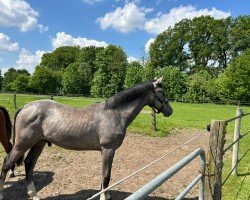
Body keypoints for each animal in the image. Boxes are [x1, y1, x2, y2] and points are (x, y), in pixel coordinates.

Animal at [0, 77, 172, 199]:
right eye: (162, 93)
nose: (170, 111)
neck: (115, 113)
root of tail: (25, 107)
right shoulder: (108, 150)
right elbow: (106, 176)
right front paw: (104, 197)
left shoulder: (107, 152)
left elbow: (105, 177)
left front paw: (106, 194)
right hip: (22, 144)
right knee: (7, 163)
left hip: (39, 143)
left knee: (29, 164)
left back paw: (34, 195)